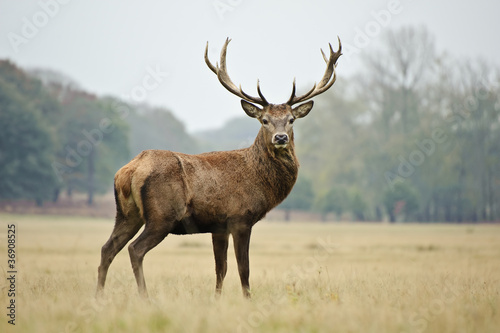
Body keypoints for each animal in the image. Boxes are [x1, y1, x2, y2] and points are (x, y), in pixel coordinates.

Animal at [95, 37, 342, 296]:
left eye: (291, 120)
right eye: (264, 120)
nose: (281, 137)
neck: (258, 180)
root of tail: (129, 170)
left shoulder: (218, 226)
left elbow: (220, 268)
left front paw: (217, 299)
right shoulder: (240, 218)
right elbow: (244, 268)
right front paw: (247, 298)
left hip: (127, 213)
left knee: (107, 248)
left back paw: (99, 296)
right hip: (162, 215)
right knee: (135, 249)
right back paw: (144, 297)